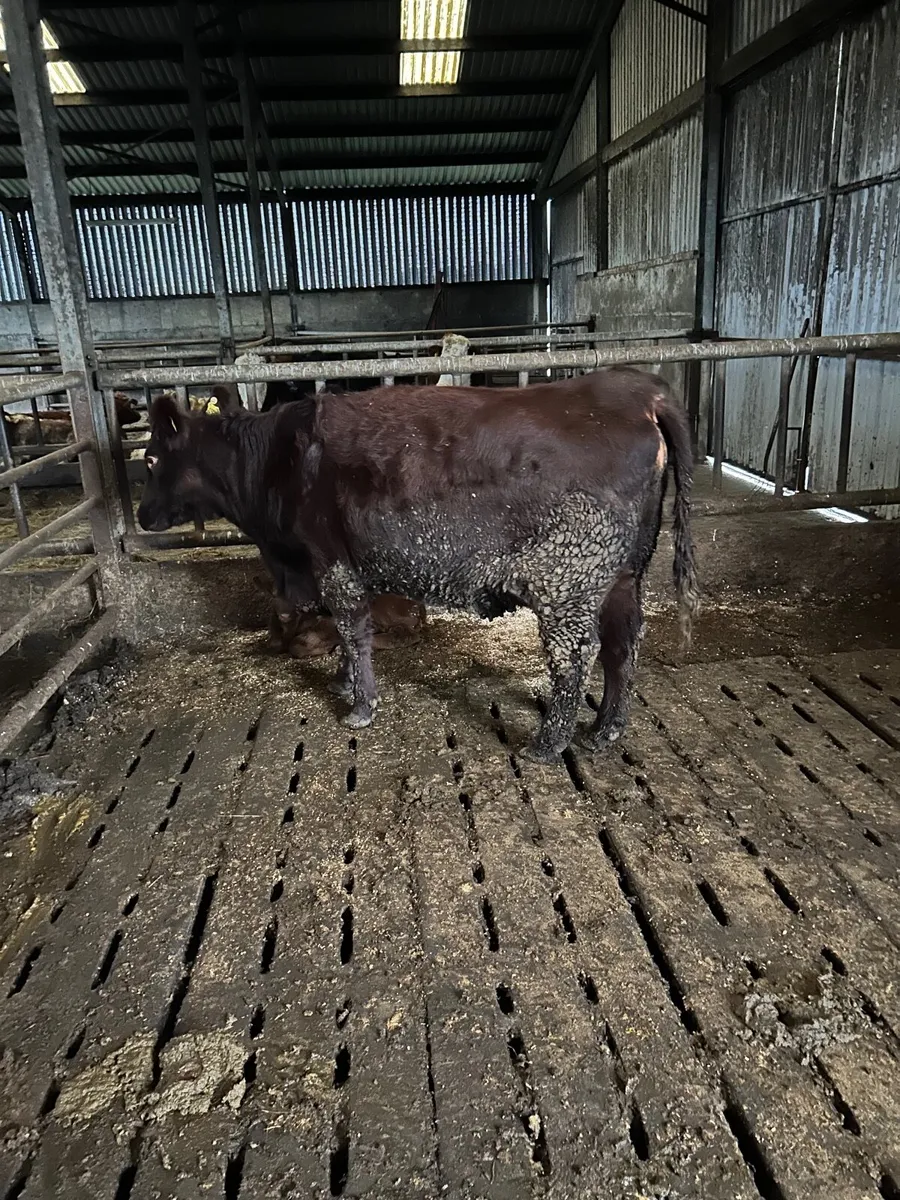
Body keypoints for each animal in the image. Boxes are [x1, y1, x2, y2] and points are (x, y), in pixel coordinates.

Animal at [136, 369, 698, 762]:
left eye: (150, 459)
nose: (141, 514)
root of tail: (639, 391)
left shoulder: (329, 557)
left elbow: (352, 628)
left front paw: (360, 707)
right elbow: (346, 632)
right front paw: (343, 682)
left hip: (568, 579)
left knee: (577, 655)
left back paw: (547, 743)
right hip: (624, 574)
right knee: (624, 642)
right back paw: (605, 729)